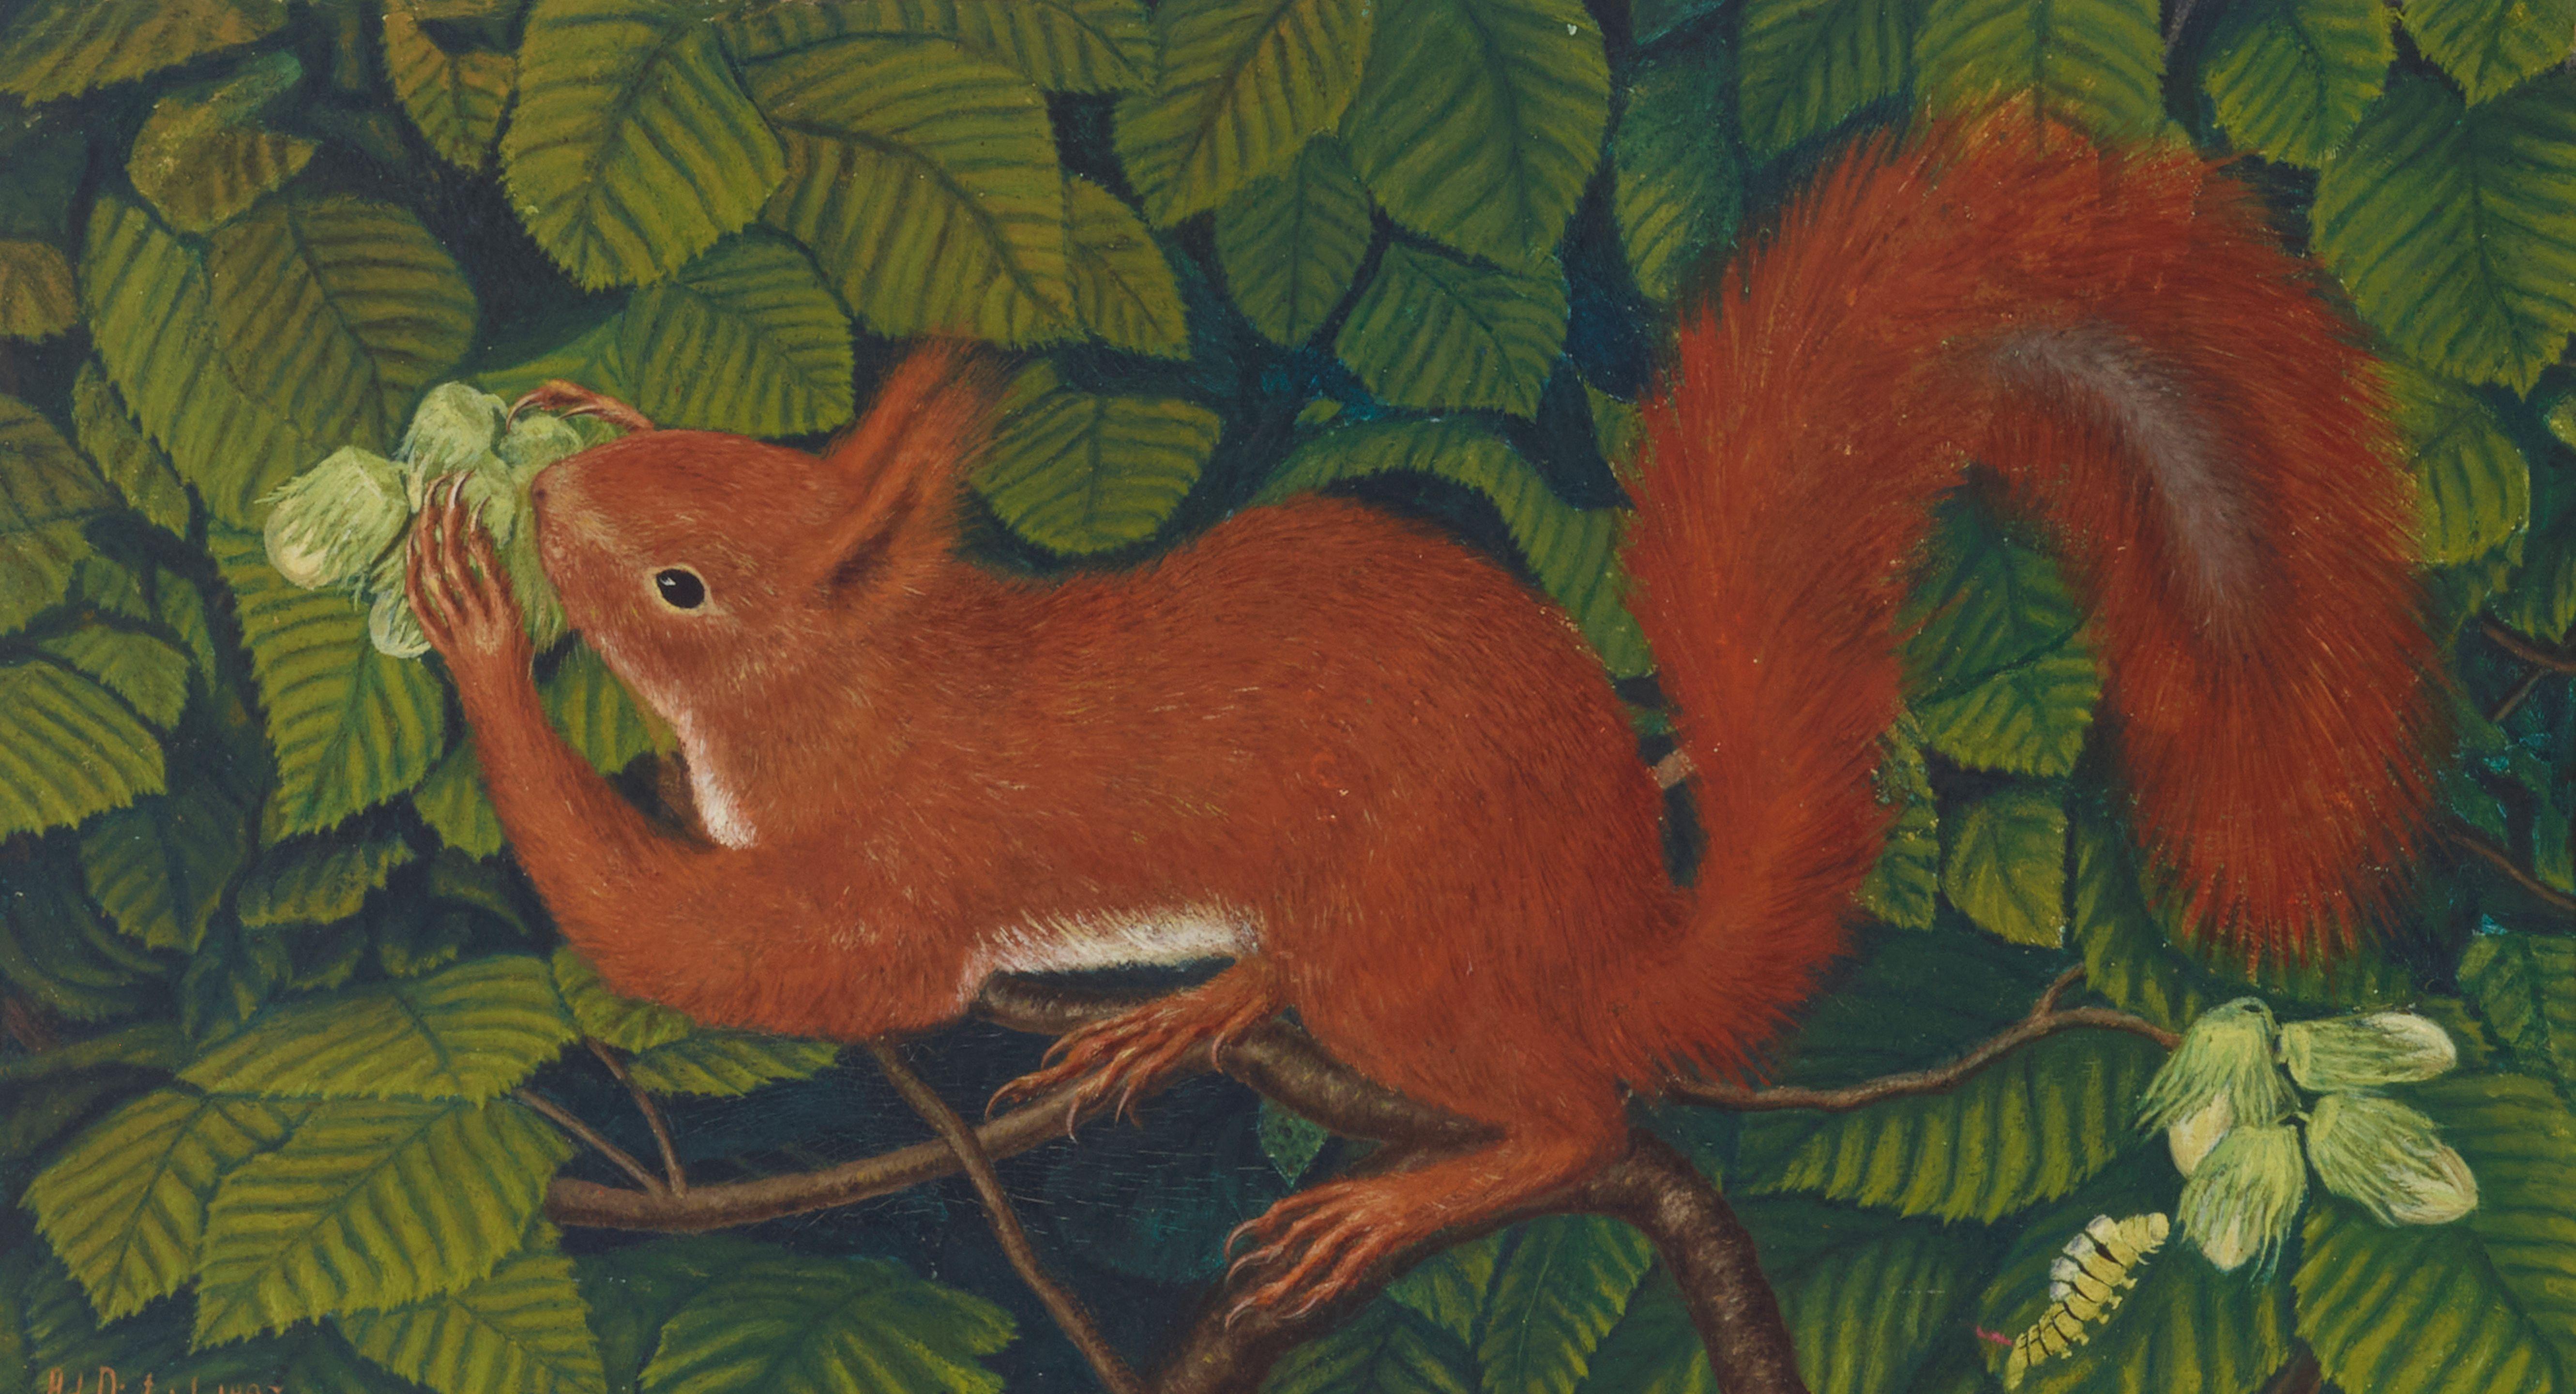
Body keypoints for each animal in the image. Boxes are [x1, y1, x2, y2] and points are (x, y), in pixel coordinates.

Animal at [405, 108, 2441, 1314]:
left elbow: (743, 957)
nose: (563, 502)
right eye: (679, 454)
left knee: (1571, 1108)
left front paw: (479, 627)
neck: (858, 676)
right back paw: (1207, 1005)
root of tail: (1613, 932)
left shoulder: (901, 869)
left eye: (682, 586)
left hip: (1409, 954)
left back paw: (1393, 1193)